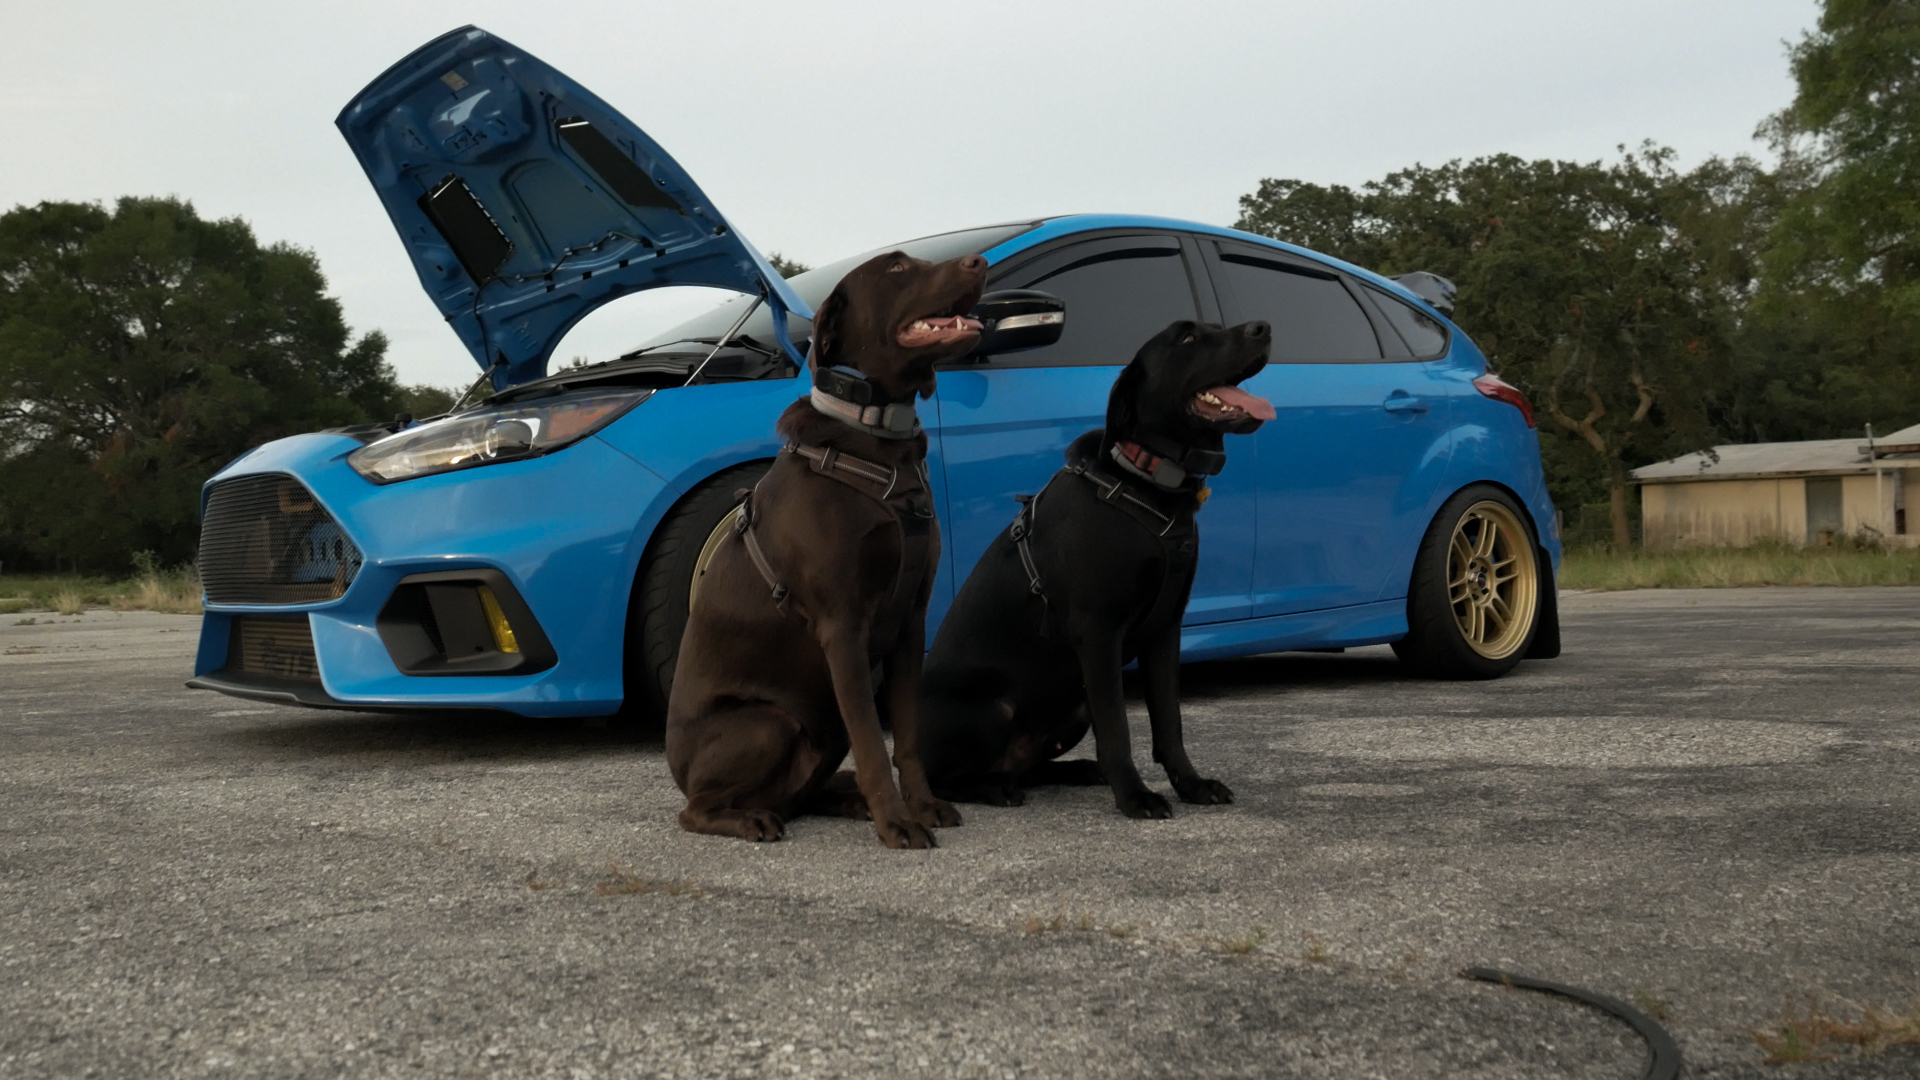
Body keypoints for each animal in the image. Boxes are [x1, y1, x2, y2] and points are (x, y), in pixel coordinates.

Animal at [664, 247, 990, 845]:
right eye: (896, 269)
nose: (978, 262)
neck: (876, 437)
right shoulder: (843, 627)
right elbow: (873, 743)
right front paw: (897, 823)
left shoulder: (909, 621)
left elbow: (906, 738)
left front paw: (921, 806)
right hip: (768, 723)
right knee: (699, 809)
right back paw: (752, 818)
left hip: (822, 722)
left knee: (805, 793)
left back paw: (846, 801)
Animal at [917, 319, 1267, 814]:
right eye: (1186, 338)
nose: (1263, 328)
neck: (1145, 479)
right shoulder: (1099, 631)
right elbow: (1117, 727)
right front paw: (1135, 797)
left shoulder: (1166, 630)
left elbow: (1170, 722)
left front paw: (1192, 784)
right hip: (991, 711)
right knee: (943, 781)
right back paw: (994, 788)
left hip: (1072, 711)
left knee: (1028, 767)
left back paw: (1075, 770)